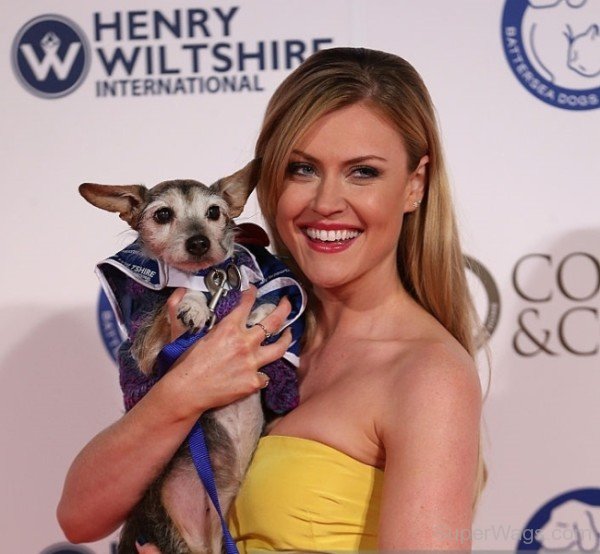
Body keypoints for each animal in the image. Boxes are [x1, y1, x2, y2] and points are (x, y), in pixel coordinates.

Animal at [79, 158, 304, 548]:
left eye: (214, 212)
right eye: (163, 214)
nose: (199, 241)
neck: (214, 280)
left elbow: (267, 303)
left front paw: (261, 314)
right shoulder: (144, 353)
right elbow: (175, 304)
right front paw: (194, 304)